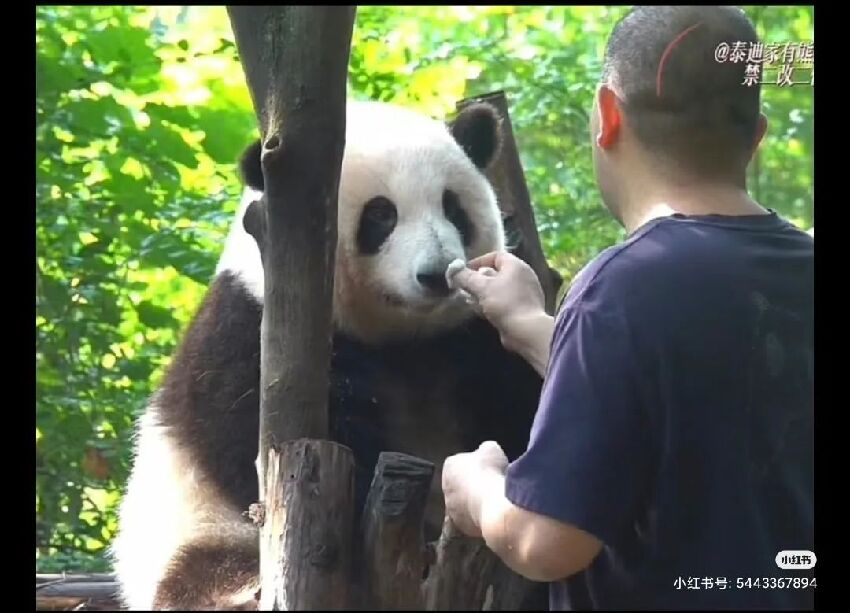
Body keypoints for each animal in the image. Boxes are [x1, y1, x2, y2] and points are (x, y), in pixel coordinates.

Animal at [111, 99, 544, 608]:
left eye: (453, 207)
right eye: (381, 216)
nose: (437, 274)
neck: (400, 338)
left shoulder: (470, 336)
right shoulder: (252, 331)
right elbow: (252, 437)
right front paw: (419, 542)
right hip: (191, 527)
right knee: (201, 576)